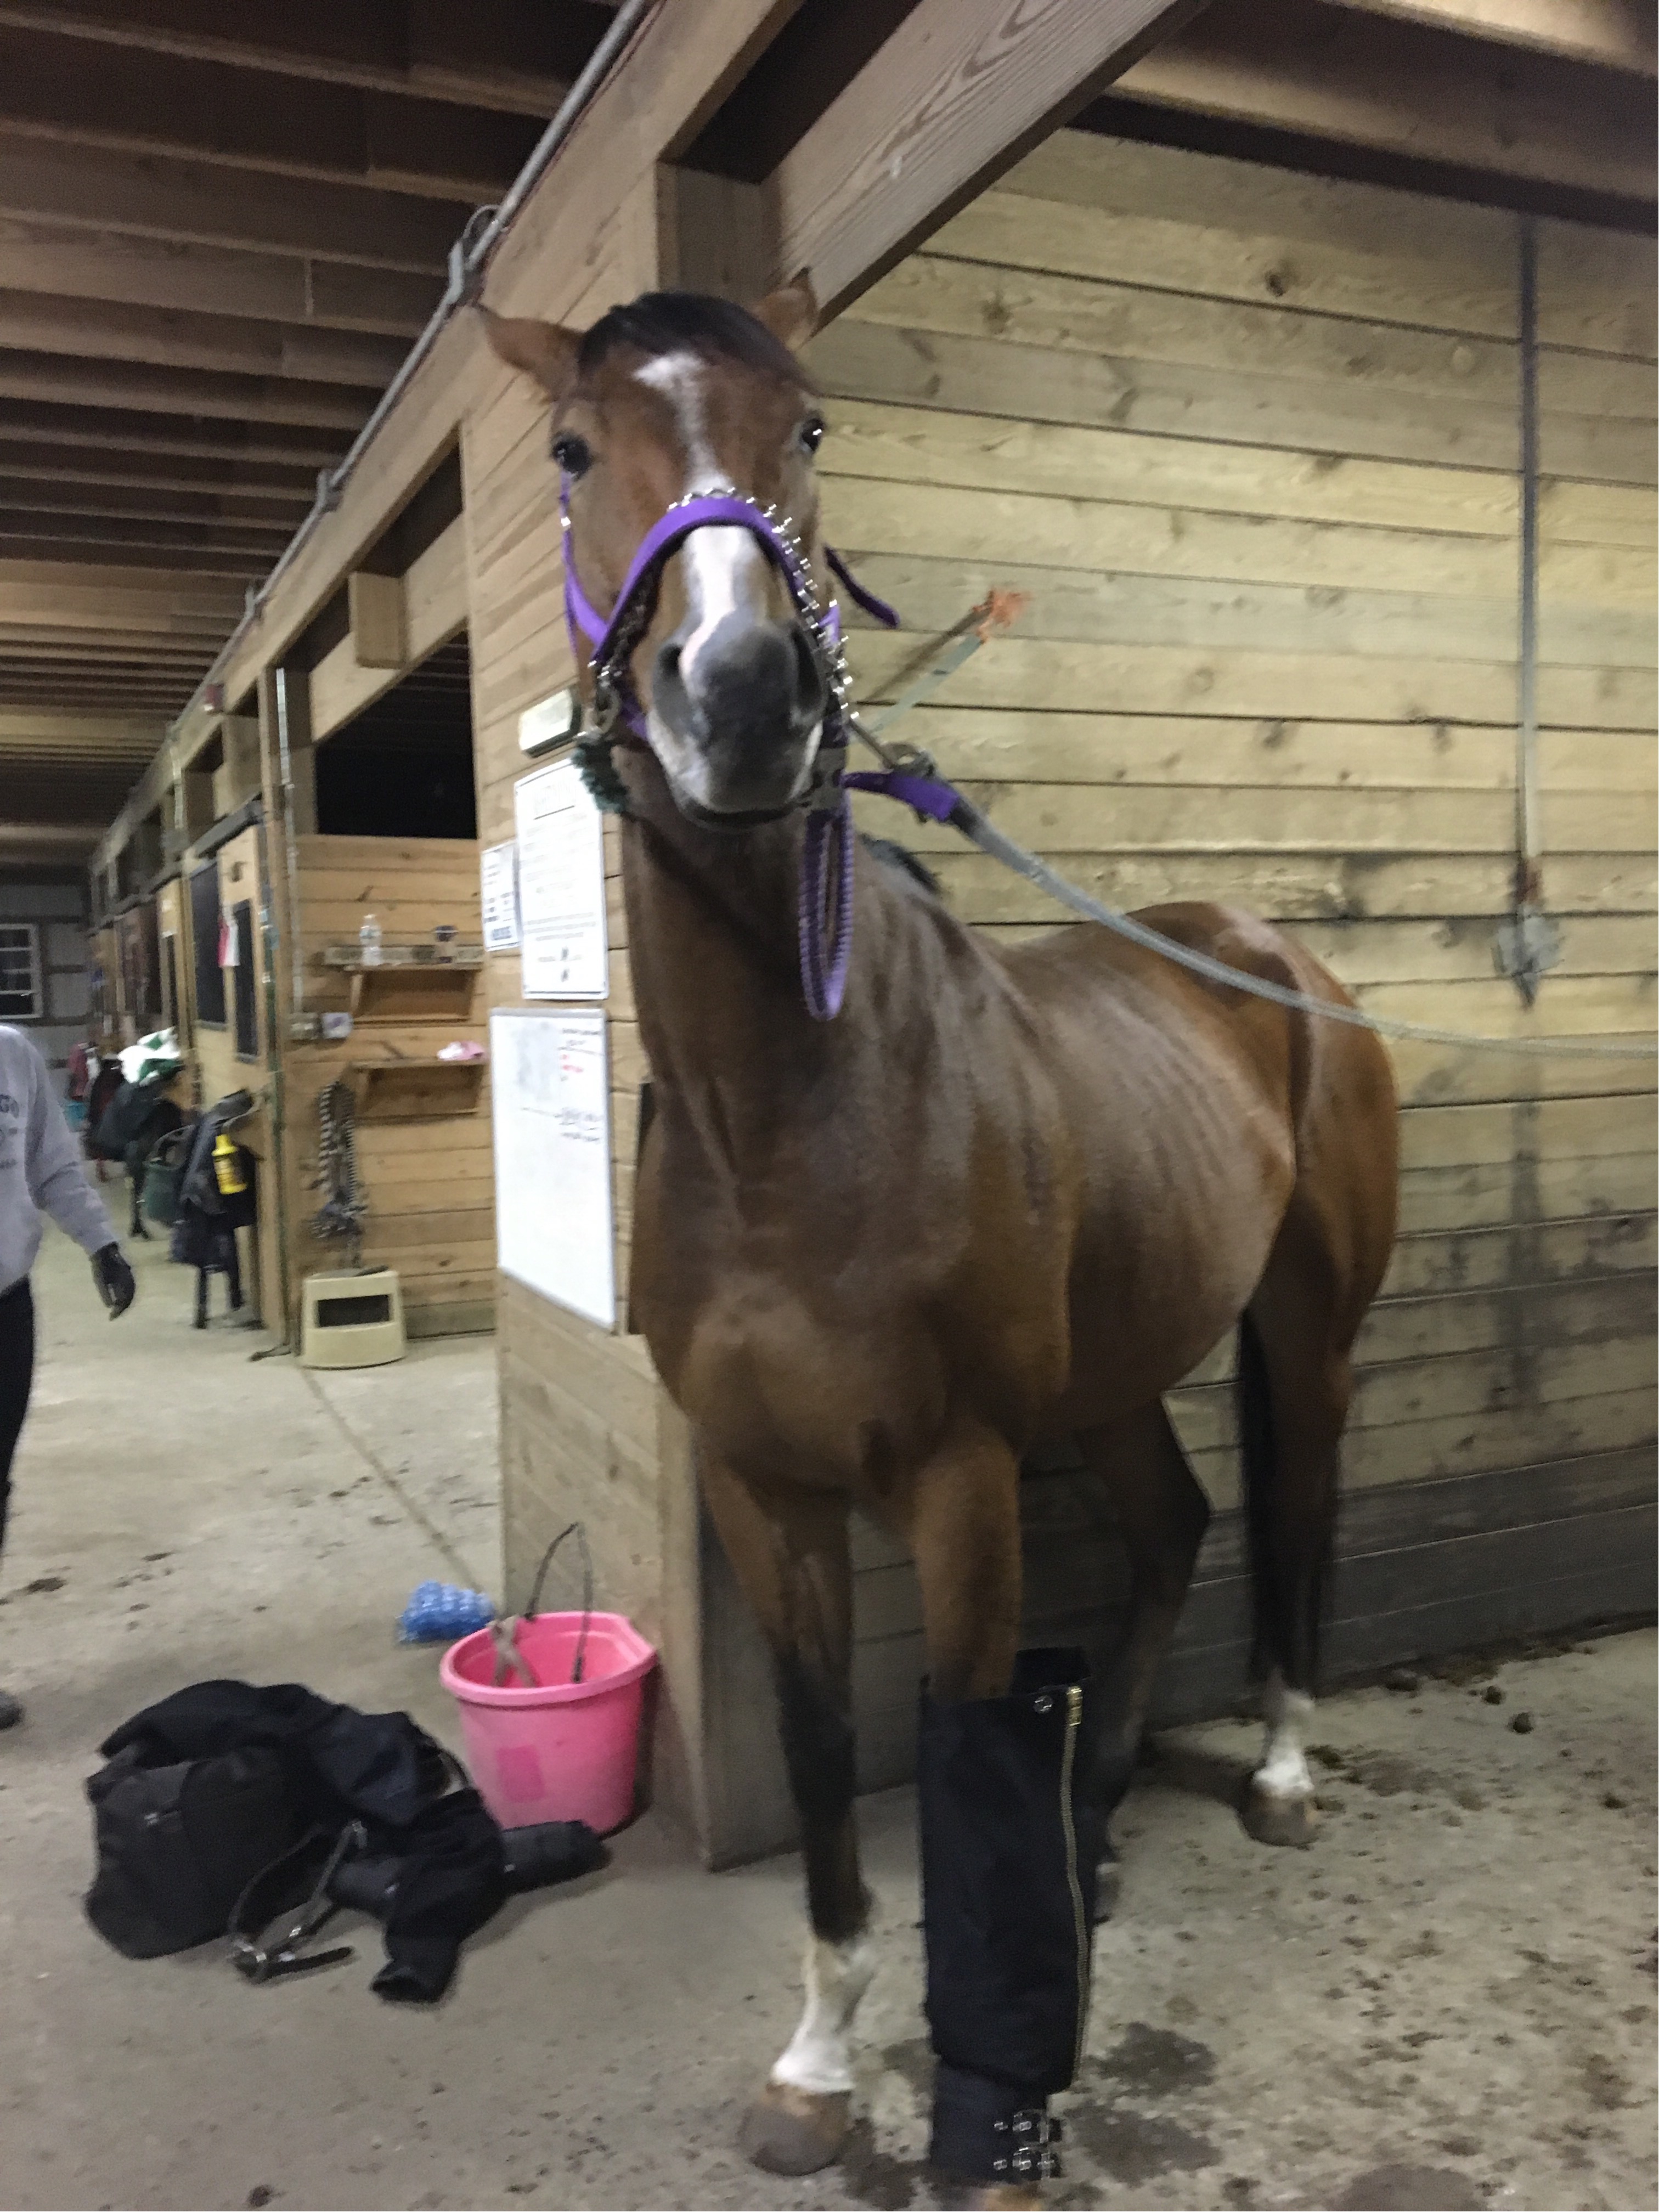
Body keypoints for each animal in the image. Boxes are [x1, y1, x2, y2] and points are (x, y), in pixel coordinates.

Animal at [484, 277, 1398, 2199]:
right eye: (574, 448)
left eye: (812, 425)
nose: (741, 694)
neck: (793, 1118)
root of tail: (1277, 960)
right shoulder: (763, 1488)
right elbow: (828, 1750)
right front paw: (820, 2066)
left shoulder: (962, 1480)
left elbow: (956, 1747)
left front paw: (991, 2103)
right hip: (1116, 1372)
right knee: (1179, 1524)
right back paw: (1100, 1822)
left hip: (1305, 1333)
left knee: (1296, 1511)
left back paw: (1281, 1770)